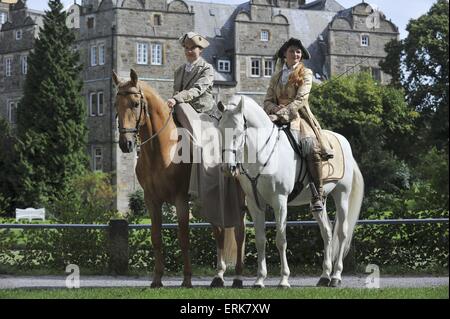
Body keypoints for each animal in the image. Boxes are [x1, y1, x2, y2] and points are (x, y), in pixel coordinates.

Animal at [112, 70, 246, 290]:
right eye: (116, 104)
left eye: (135, 103)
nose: (126, 143)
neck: (165, 147)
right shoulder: (152, 201)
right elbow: (156, 238)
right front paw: (157, 279)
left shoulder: (181, 200)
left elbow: (183, 239)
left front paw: (187, 279)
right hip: (210, 201)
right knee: (219, 232)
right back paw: (218, 276)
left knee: (239, 232)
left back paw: (238, 278)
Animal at [216, 96, 364, 288]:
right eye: (220, 131)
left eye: (239, 132)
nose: (228, 168)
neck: (263, 154)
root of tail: (343, 142)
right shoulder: (255, 204)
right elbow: (260, 241)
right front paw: (259, 280)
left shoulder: (279, 201)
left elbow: (281, 240)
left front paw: (284, 280)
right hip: (319, 201)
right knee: (327, 232)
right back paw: (325, 276)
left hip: (342, 195)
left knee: (342, 232)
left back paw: (336, 277)